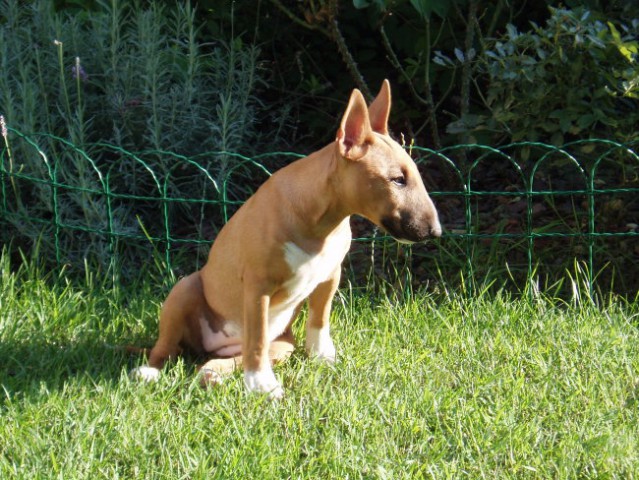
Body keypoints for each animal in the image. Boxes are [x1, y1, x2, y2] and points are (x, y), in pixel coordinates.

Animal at [130, 81, 440, 398]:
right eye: (397, 180)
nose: (436, 232)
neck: (320, 224)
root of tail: (210, 347)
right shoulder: (258, 286)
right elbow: (256, 339)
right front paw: (262, 386)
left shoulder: (330, 275)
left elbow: (319, 318)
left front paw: (322, 356)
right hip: (185, 289)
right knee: (167, 347)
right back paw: (150, 371)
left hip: (281, 346)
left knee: (228, 358)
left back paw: (212, 373)